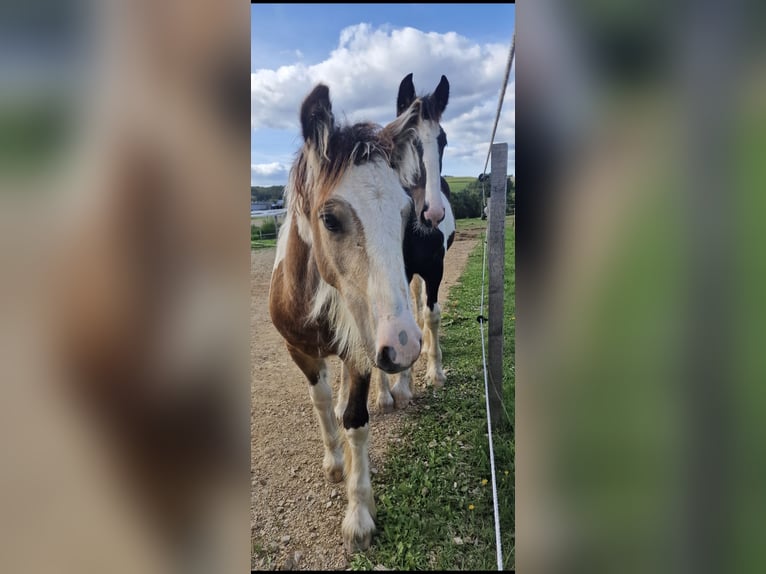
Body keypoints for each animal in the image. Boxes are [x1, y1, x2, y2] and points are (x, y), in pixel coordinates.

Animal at [268, 83, 426, 552]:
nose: (405, 343)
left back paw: (394, 392)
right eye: (329, 218)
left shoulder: (363, 349)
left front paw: (359, 515)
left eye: (405, 214)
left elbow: (356, 421)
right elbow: (321, 404)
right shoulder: (298, 350)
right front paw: (335, 460)